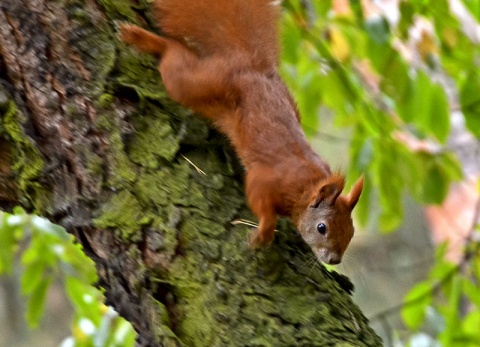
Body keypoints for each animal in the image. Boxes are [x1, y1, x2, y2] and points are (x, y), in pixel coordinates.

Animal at [120, 0, 364, 264]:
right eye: (322, 227)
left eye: (351, 232)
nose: (334, 260)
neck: (306, 187)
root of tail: (248, 62)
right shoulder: (268, 179)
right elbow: (260, 201)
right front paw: (263, 234)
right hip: (197, 85)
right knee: (174, 56)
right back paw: (139, 37)